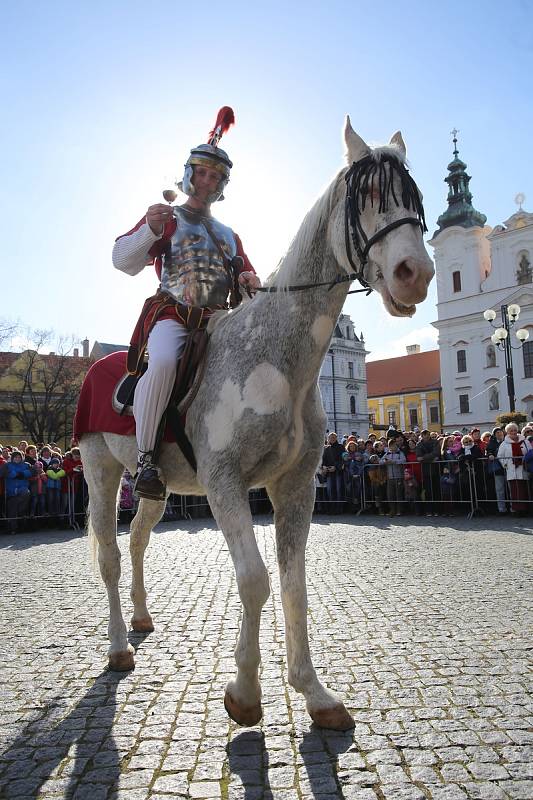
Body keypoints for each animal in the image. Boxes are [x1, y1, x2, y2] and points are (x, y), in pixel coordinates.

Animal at [79, 120, 432, 732]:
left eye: (413, 198)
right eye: (368, 195)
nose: (416, 274)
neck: (277, 361)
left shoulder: (294, 488)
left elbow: (293, 585)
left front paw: (314, 692)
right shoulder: (225, 484)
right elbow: (254, 581)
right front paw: (244, 693)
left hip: (156, 487)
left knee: (140, 538)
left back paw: (143, 619)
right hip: (101, 470)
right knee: (109, 555)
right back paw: (119, 645)